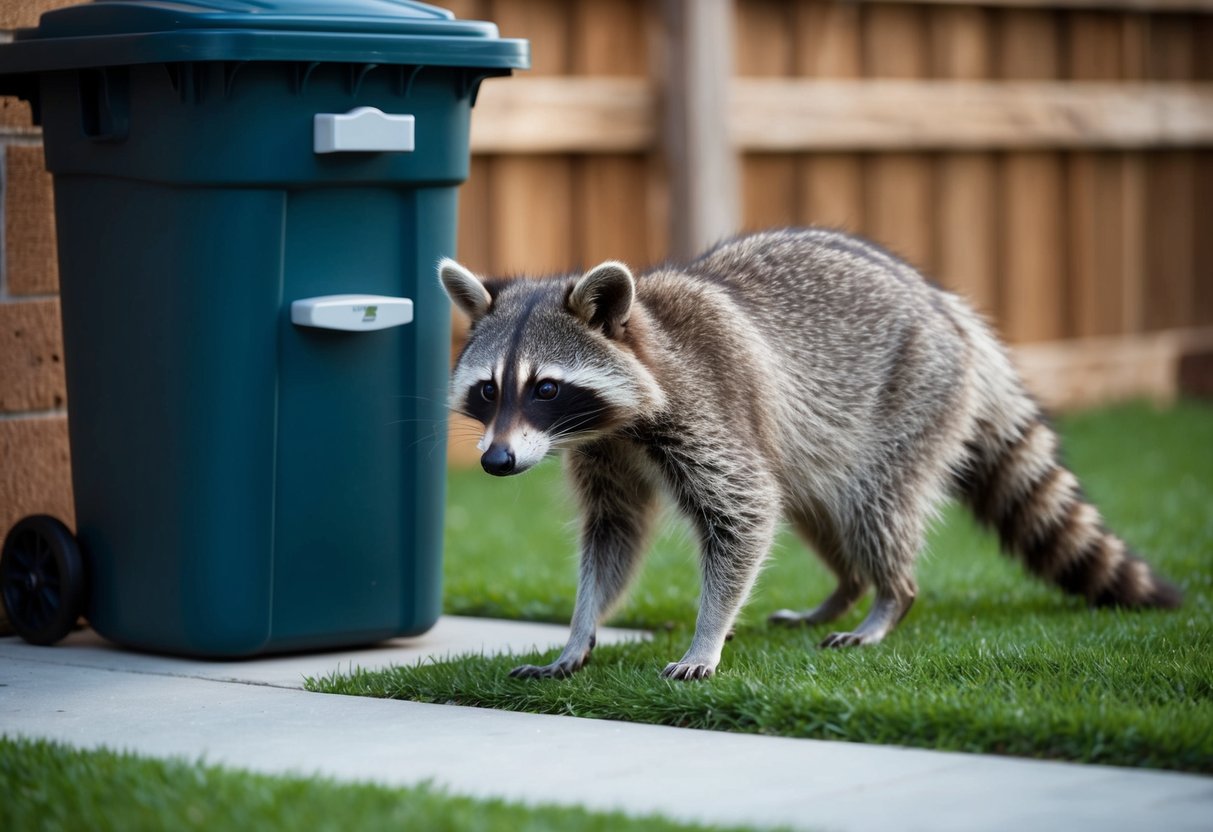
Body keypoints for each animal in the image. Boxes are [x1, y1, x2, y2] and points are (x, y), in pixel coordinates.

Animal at [438, 228, 1180, 681]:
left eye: (545, 387)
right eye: (488, 389)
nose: (495, 462)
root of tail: (949, 310)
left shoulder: (708, 409)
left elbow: (743, 512)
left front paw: (707, 633)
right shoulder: (601, 455)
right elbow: (612, 539)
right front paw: (579, 631)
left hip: (911, 399)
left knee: (873, 509)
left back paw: (889, 597)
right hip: (822, 443)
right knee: (816, 511)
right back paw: (845, 589)